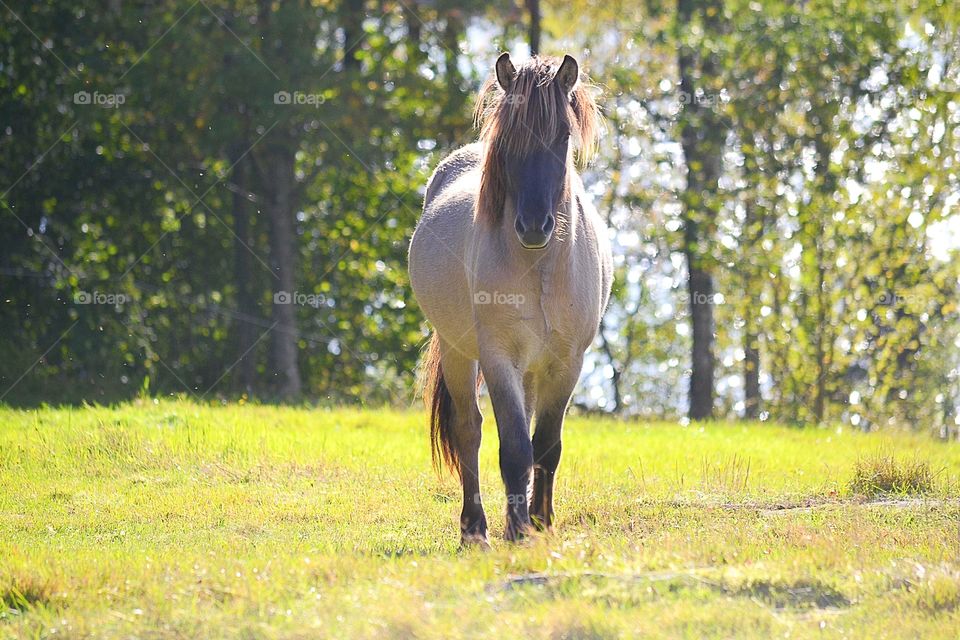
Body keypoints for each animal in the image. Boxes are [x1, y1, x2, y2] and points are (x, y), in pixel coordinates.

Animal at [408, 53, 612, 544]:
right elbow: (515, 447)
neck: (540, 267)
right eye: (509, 138)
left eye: (562, 136)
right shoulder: (499, 358)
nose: (534, 226)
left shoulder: (566, 363)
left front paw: (540, 522)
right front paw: (518, 531)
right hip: (461, 353)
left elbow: (546, 446)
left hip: (534, 370)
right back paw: (474, 529)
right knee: (469, 431)